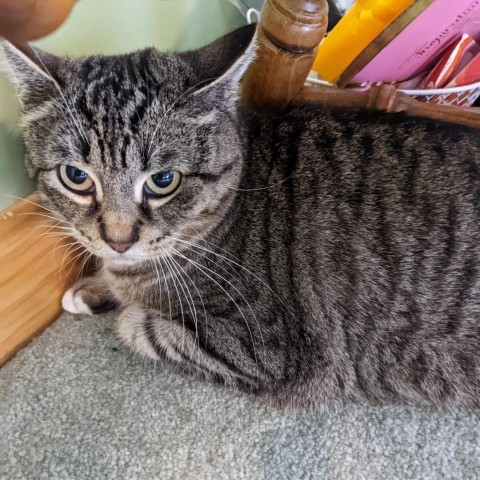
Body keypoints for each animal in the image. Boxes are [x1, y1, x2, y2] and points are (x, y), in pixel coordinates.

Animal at [3, 25, 480, 408]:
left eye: (163, 180)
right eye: (75, 177)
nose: (119, 240)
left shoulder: (263, 348)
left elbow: (139, 325)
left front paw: (120, 301)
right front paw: (93, 285)